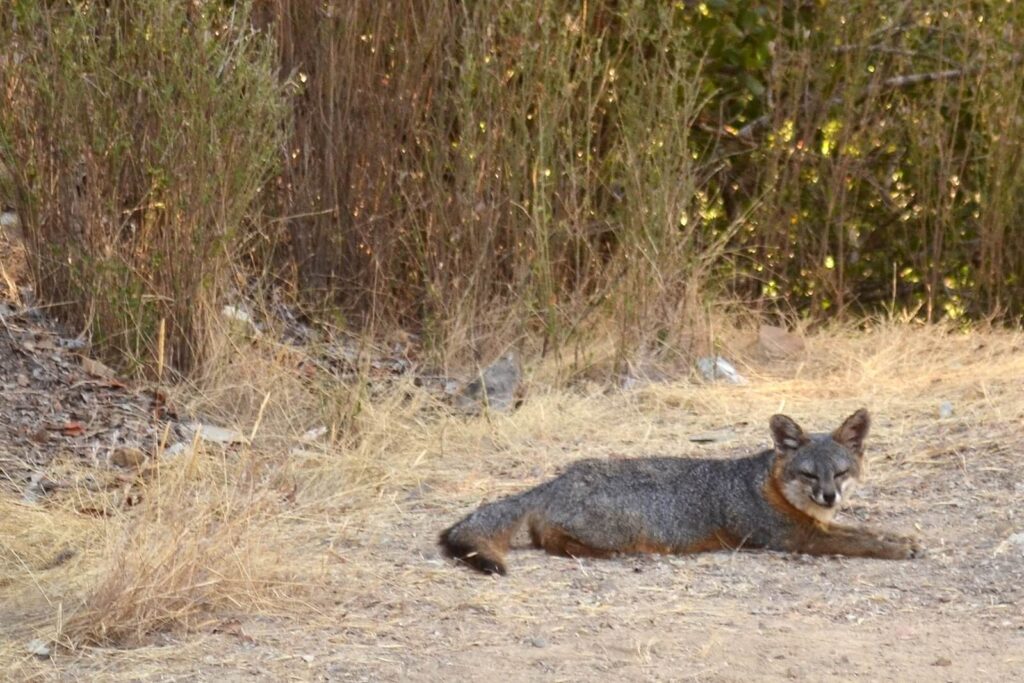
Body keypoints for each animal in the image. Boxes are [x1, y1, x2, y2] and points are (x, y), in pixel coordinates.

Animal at [438, 409, 921, 573]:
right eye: (808, 475)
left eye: (839, 474)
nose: (829, 498)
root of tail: (559, 478)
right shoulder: (795, 539)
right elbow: (857, 541)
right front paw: (895, 549)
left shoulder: (816, 526)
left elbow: (864, 530)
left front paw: (902, 538)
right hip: (626, 525)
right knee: (550, 540)